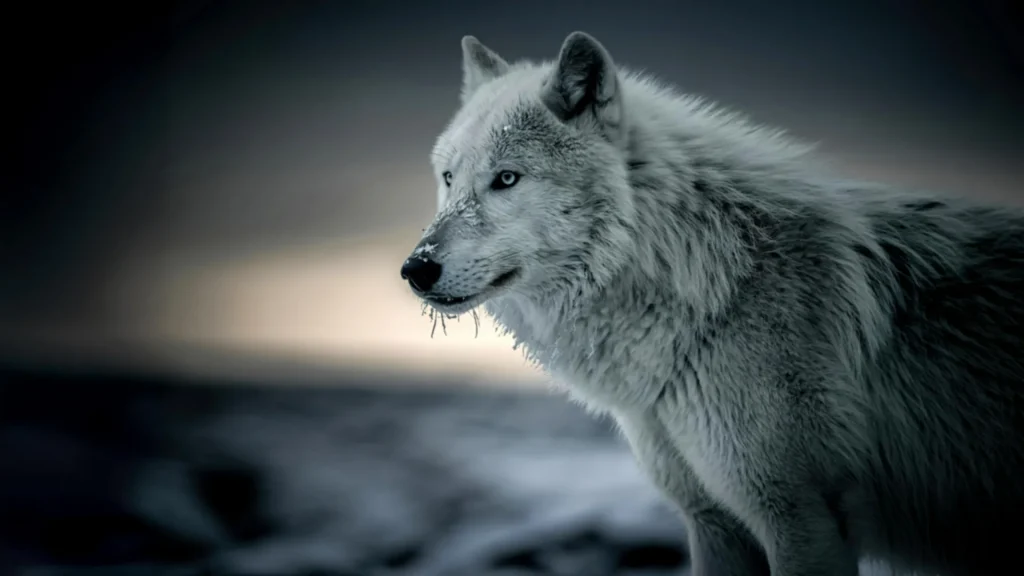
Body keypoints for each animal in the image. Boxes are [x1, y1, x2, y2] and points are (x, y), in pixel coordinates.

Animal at [399, 31, 1024, 576]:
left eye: (507, 179)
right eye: (449, 178)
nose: (415, 269)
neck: (713, 286)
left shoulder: (799, 514)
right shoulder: (712, 520)